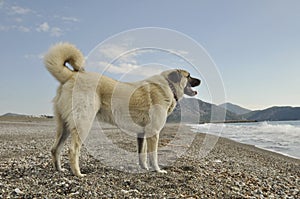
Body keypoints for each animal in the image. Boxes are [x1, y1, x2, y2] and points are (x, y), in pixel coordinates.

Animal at [43, 42, 200, 176]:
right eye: (189, 76)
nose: (200, 80)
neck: (169, 85)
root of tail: (72, 75)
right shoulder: (153, 132)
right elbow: (153, 156)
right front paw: (157, 170)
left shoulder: (142, 134)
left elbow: (142, 154)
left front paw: (144, 168)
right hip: (83, 124)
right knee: (73, 150)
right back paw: (78, 173)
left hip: (64, 126)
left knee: (55, 149)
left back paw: (59, 169)